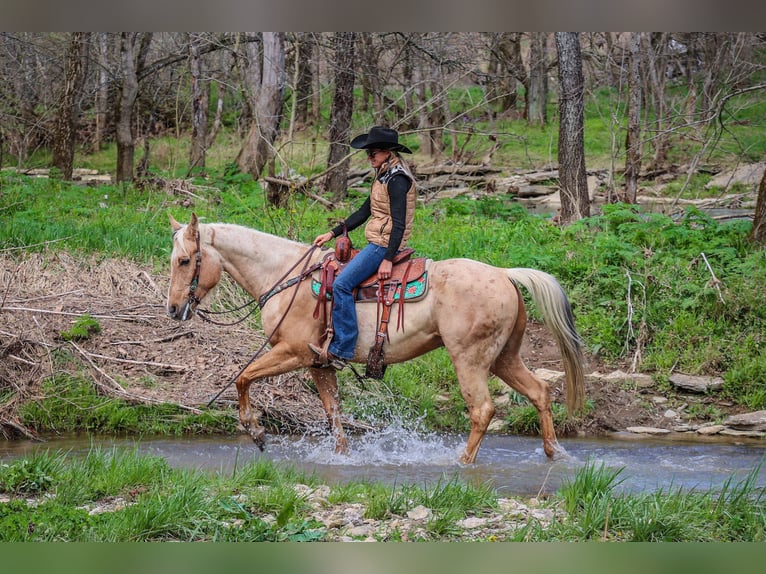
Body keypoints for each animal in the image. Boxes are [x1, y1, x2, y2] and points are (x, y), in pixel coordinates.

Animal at [168, 214, 588, 466]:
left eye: (185, 260)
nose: (173, 309)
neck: (284, 276)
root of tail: (504, 274)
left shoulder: (292, 352)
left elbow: (243, 377)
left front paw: (256, 432)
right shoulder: (318, 362)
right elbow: (333, 412)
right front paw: (342, 455)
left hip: (470, 359)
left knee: (482, 409)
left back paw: (461, 463)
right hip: (504, 357)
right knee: (539, 392)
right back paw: (554, 454)